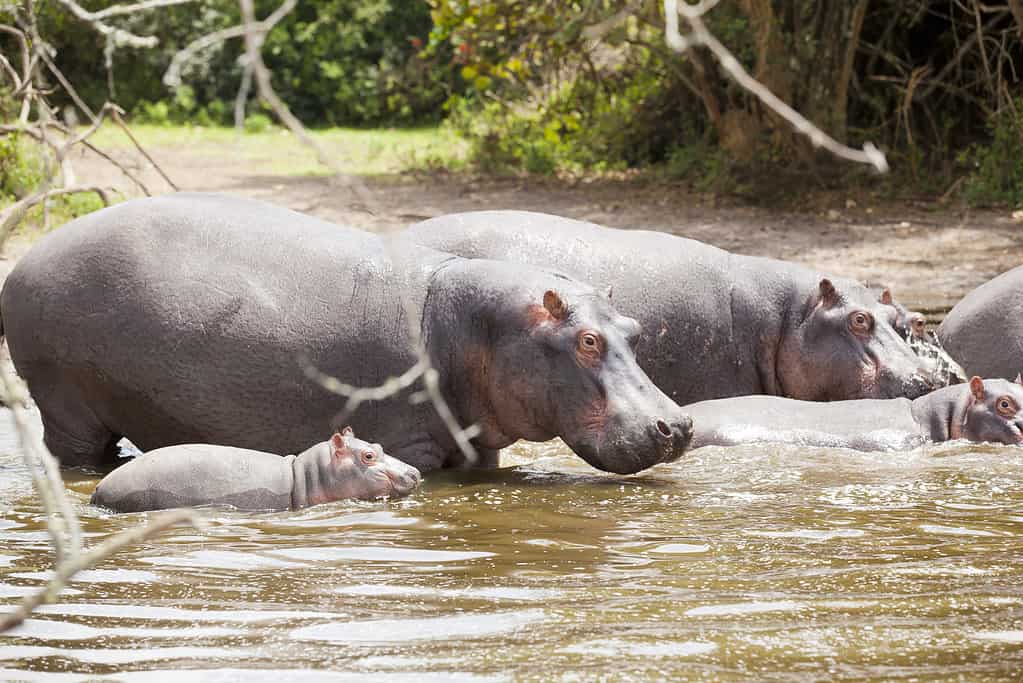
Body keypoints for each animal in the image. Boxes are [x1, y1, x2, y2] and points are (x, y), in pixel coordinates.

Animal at [0, 193, 691, 474]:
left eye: (632, 328)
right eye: (586, 341)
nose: (679, 425)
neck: (474, 325)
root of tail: (26, 260)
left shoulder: (478, 449)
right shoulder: (411, 444)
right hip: (65, 406)